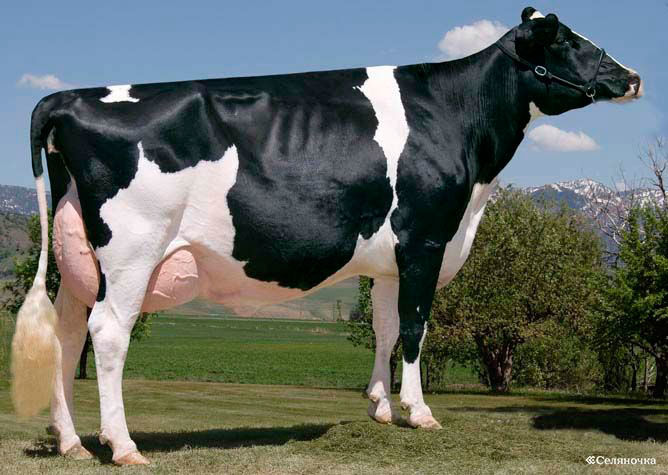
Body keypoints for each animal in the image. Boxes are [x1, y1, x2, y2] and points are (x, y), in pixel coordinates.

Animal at [11, 7, 642, 465]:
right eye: (570, 41)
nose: (634, 77)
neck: (455, 117)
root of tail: (66, 96)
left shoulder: (389, 260)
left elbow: (384, 328)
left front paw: (380, 409)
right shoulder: (426, 240)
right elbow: (415, 329)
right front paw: (419, 413)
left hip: (77, 257)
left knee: (67, 334)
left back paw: (71, 442)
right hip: (131, 251)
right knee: (108, 333)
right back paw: (123, 446)